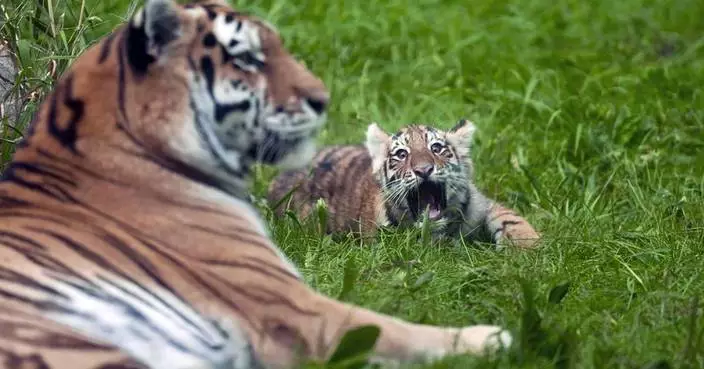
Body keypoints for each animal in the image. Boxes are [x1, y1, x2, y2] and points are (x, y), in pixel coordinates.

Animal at [0, 0, 512, 368]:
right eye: (247, 58)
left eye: (439, 150)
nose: (322, 98)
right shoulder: (291, 304)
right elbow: (395, 327)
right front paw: (492, 337)